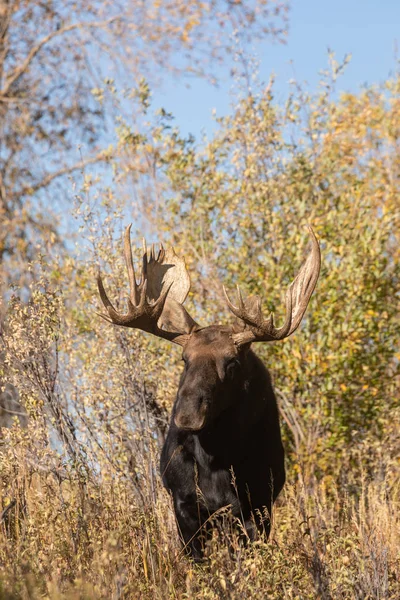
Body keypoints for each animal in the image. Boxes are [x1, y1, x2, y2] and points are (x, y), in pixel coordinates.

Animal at [98, 225, 320, 556]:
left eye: (232, 362)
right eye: (184, 358)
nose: (187, 415)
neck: (216, 458)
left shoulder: (257, 505)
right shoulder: (185, 505)